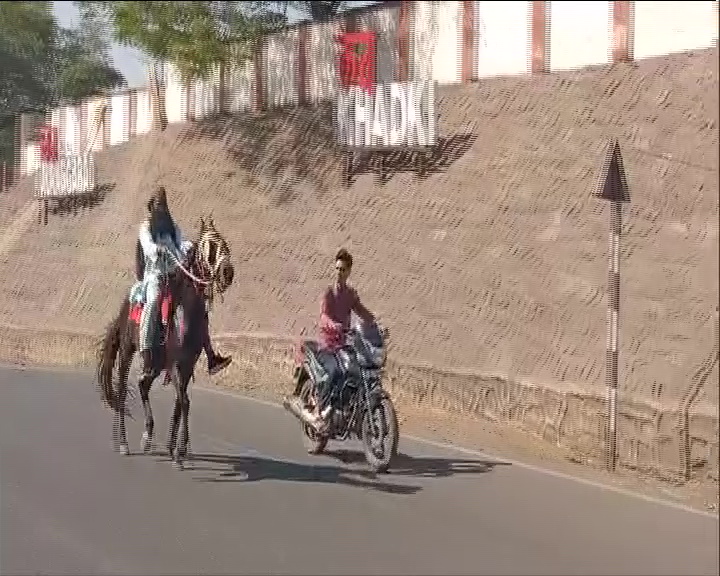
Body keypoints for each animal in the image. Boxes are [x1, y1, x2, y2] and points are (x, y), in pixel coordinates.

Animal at [95, 216, 233, 468]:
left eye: (224, 242)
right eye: (210, 246)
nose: (228, 272)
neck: (186, 313)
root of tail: (125, 307)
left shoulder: (186, 365)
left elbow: (180, 403)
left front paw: (174, 448)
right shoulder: (177, 364)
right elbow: (185, 402)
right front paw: (181, 453)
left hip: (156, 364)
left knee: (143, 384)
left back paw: (147, 437)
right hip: (129, 351)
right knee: (121, 391)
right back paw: (123, 443)